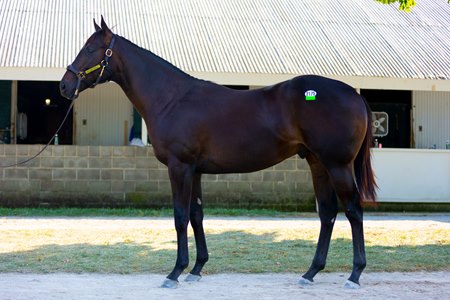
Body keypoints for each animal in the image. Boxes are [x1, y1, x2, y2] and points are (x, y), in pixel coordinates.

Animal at [59, 18, 376, 288]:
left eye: (90, 49)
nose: (64, 85)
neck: (171, 98)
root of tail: (355, 94)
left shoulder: (179, 167)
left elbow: (180, 216)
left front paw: (175, 272)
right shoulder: (196, 170)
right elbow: (197, 214)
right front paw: (196, 269)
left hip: (337, 165)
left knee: (353, 210)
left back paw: (355, 274)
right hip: (317, 163)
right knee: (328, 213)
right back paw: (310, 273)